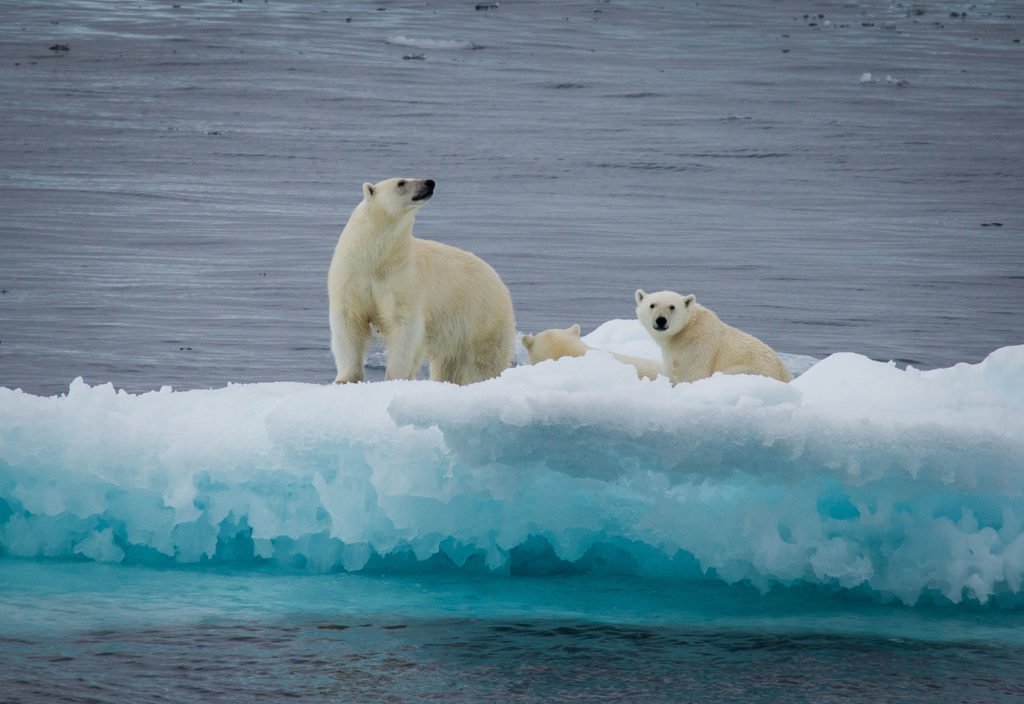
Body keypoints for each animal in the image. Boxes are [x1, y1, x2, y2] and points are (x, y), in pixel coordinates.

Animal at [328, 178, 516, 385]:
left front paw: (395, 377)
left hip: (482, 319)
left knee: (485, 361)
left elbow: (404, 326)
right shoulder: (351, 276)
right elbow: (348, 322)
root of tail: (499, 280)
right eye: (401, 183)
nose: (429, 182)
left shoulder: (403, 279)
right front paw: (344, 379)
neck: (376, 258)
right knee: (448, 364)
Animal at [635, 289, 792, 383]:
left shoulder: (696, 348)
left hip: (749, 371)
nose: (661, 320)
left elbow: (691, 375)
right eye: (652, 305)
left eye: (672, 307)